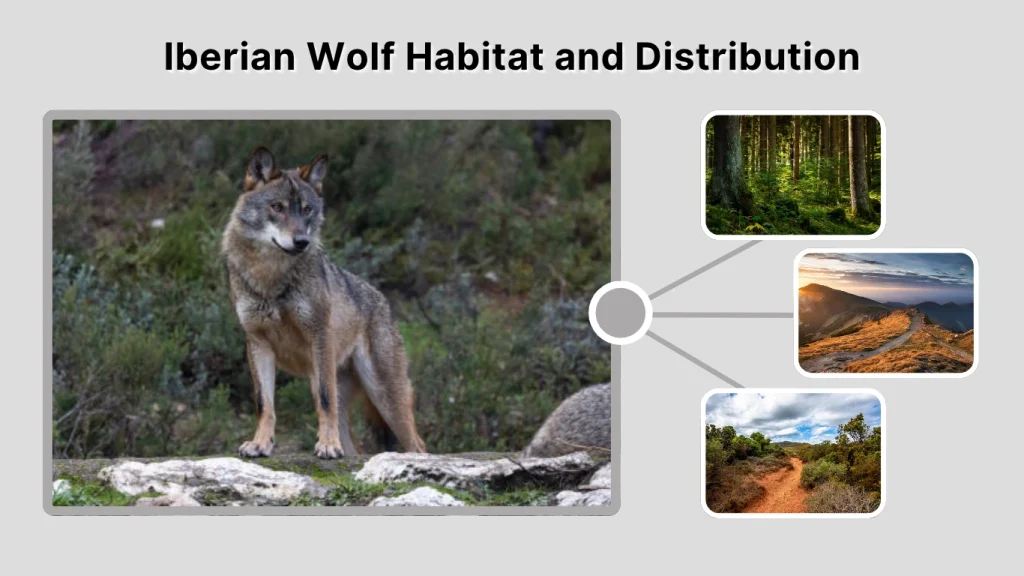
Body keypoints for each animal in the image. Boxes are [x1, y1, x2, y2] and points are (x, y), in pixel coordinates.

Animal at [220, 146, 426, 459]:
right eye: (277, 207)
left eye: (307, 210)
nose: (301, 241)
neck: (271, 278)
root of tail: (383, 301)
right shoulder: (257, 343)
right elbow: (264, 403)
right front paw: (260, 443)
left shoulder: (319, 337)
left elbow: (325, 402)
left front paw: (327, 445)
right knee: (355, 447)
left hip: (385, 398)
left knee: (418, 444)